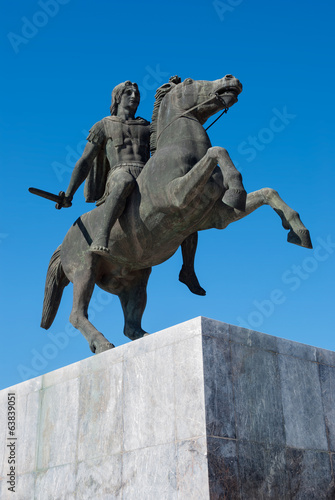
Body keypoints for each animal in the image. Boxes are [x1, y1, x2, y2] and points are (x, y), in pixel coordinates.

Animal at [40, 76, 314, 354]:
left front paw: (298, 231)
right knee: (77, 314)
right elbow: (217, 150)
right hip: (85, 270)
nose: (231, 79)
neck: (179, 149)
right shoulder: (176, 195)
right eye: (191, 81)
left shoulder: (216, 216)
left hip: (135, 279)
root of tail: (64, 243)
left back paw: (148, 334)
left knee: (131, 325)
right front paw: (237, 187)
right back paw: (103, 342)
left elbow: (268, 192)